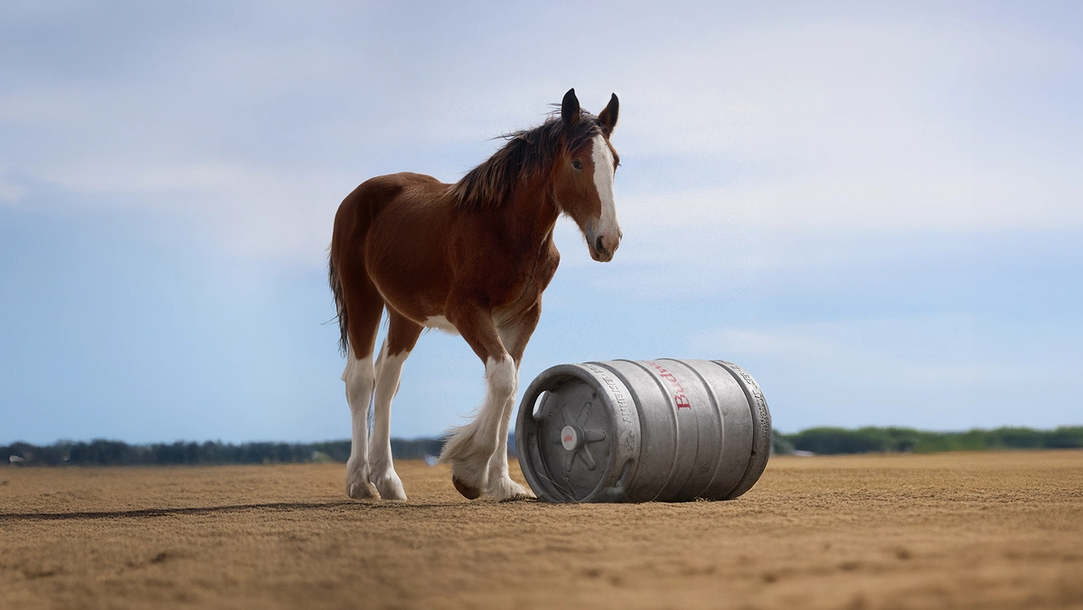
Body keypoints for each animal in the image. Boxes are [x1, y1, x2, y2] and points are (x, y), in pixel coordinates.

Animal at [328, 88, 621, 501]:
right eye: (577, 163)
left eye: (615, 163)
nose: (608, 240)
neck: (504, 228)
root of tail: (356, 197)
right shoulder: (466, 311)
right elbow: (502, 377)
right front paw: (470, 471)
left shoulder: (523, 317)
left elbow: (512, 389)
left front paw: (502, 483)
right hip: (362, 297)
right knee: (360, 380)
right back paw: (360, 482)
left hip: (407, 315)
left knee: (386, 383)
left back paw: (387, 479)